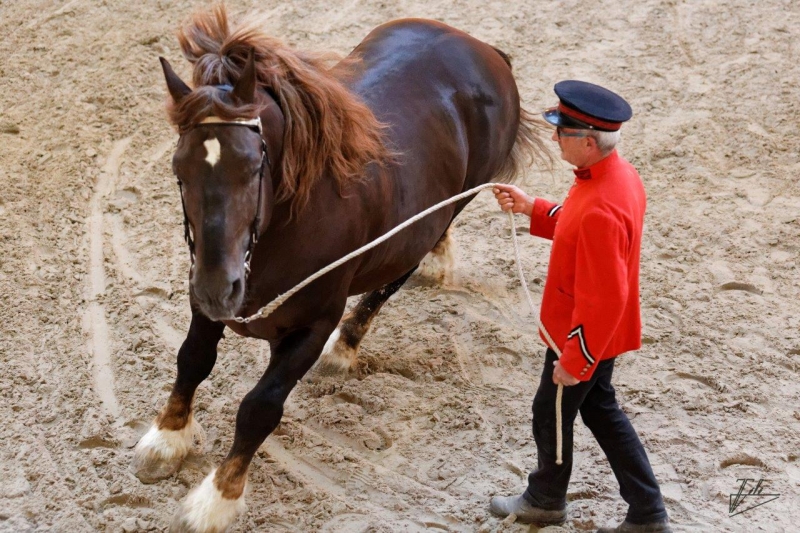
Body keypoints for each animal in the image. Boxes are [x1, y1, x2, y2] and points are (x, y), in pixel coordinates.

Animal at [133, 5, 552, 532]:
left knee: (396, 275)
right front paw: (166, 440)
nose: (218, 288)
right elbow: (191, 360)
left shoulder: (312, 323)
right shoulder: (205, 301)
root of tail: (483, 49)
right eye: (179, 169)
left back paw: (349, 343)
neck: (286, 227)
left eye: (252, 167)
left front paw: (217, 499)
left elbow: (259, 408)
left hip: (456, 201)